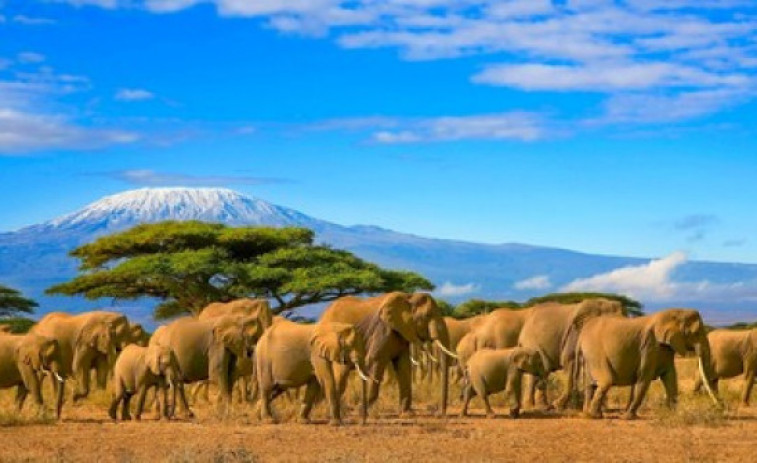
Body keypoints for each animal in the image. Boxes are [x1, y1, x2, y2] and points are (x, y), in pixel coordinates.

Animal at [318, 294, 454, 416]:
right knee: (340, 374)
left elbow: (404, 366)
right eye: (427, 315)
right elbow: (375, 361)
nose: (439, 413)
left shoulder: (401, 334)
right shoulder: (383, 330)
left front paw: (407, 414)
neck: (409, 297)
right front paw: (362, 412)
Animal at [576, 308, 716, 420]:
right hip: (595, 352)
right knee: (606, 381)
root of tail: (582, 333)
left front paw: (672, 415)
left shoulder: (665, 348)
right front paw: (628, 417)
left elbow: (670, 377)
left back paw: (588, 414)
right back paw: (594, 416)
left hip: (590, 357)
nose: (718, 408)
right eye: (696, 333)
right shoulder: (649, 345)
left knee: (591, 385)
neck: (675, 312)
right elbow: (644, 378)